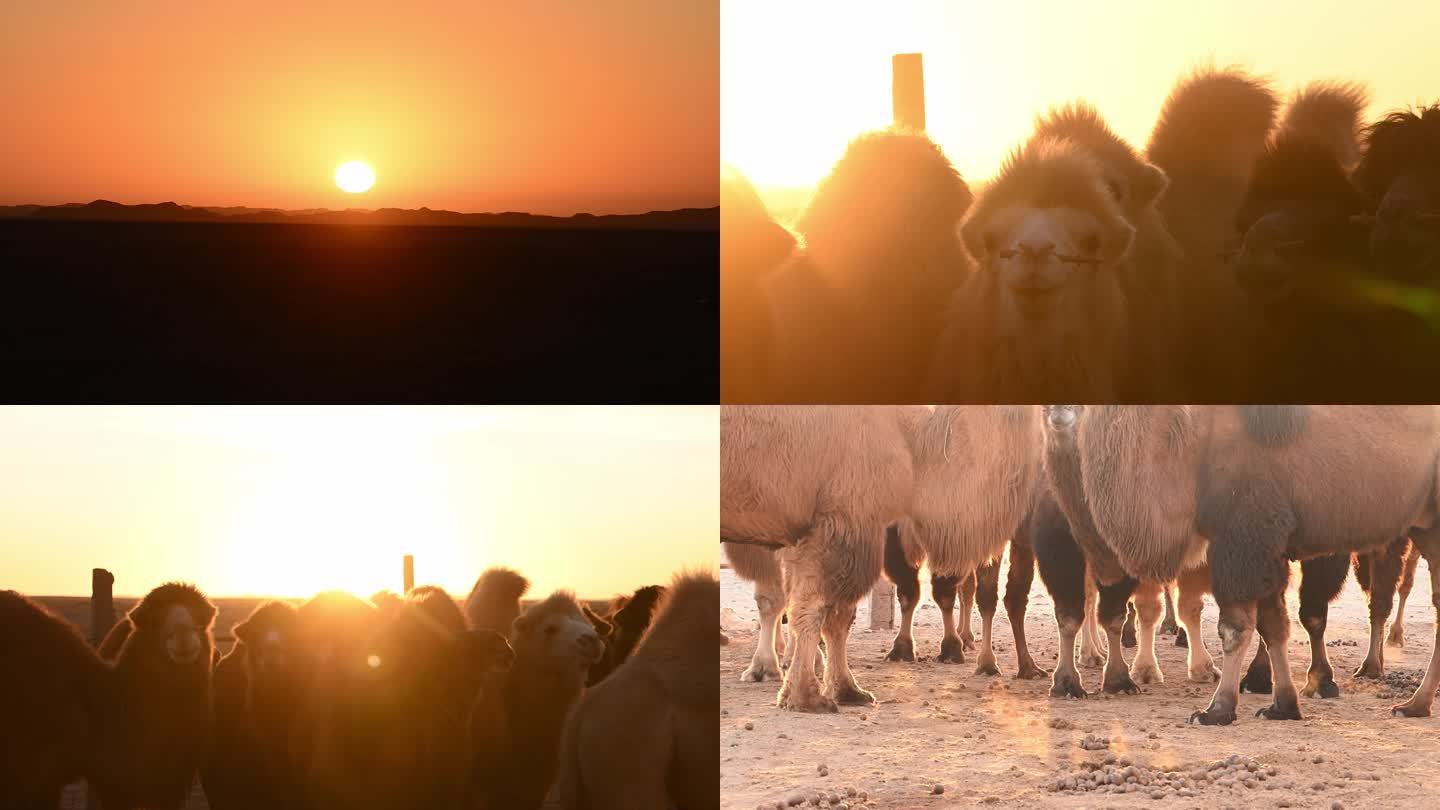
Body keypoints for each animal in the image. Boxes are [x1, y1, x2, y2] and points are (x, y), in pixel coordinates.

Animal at [1054, 400, 1440, 720]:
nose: (1060, 411)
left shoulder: (1245, 538)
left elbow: (1235, 628)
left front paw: (1217, 709)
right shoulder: (1265, 549)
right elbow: (1272, 626)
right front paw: (1282, 705)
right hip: (1426, 527)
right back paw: (1415, 705)